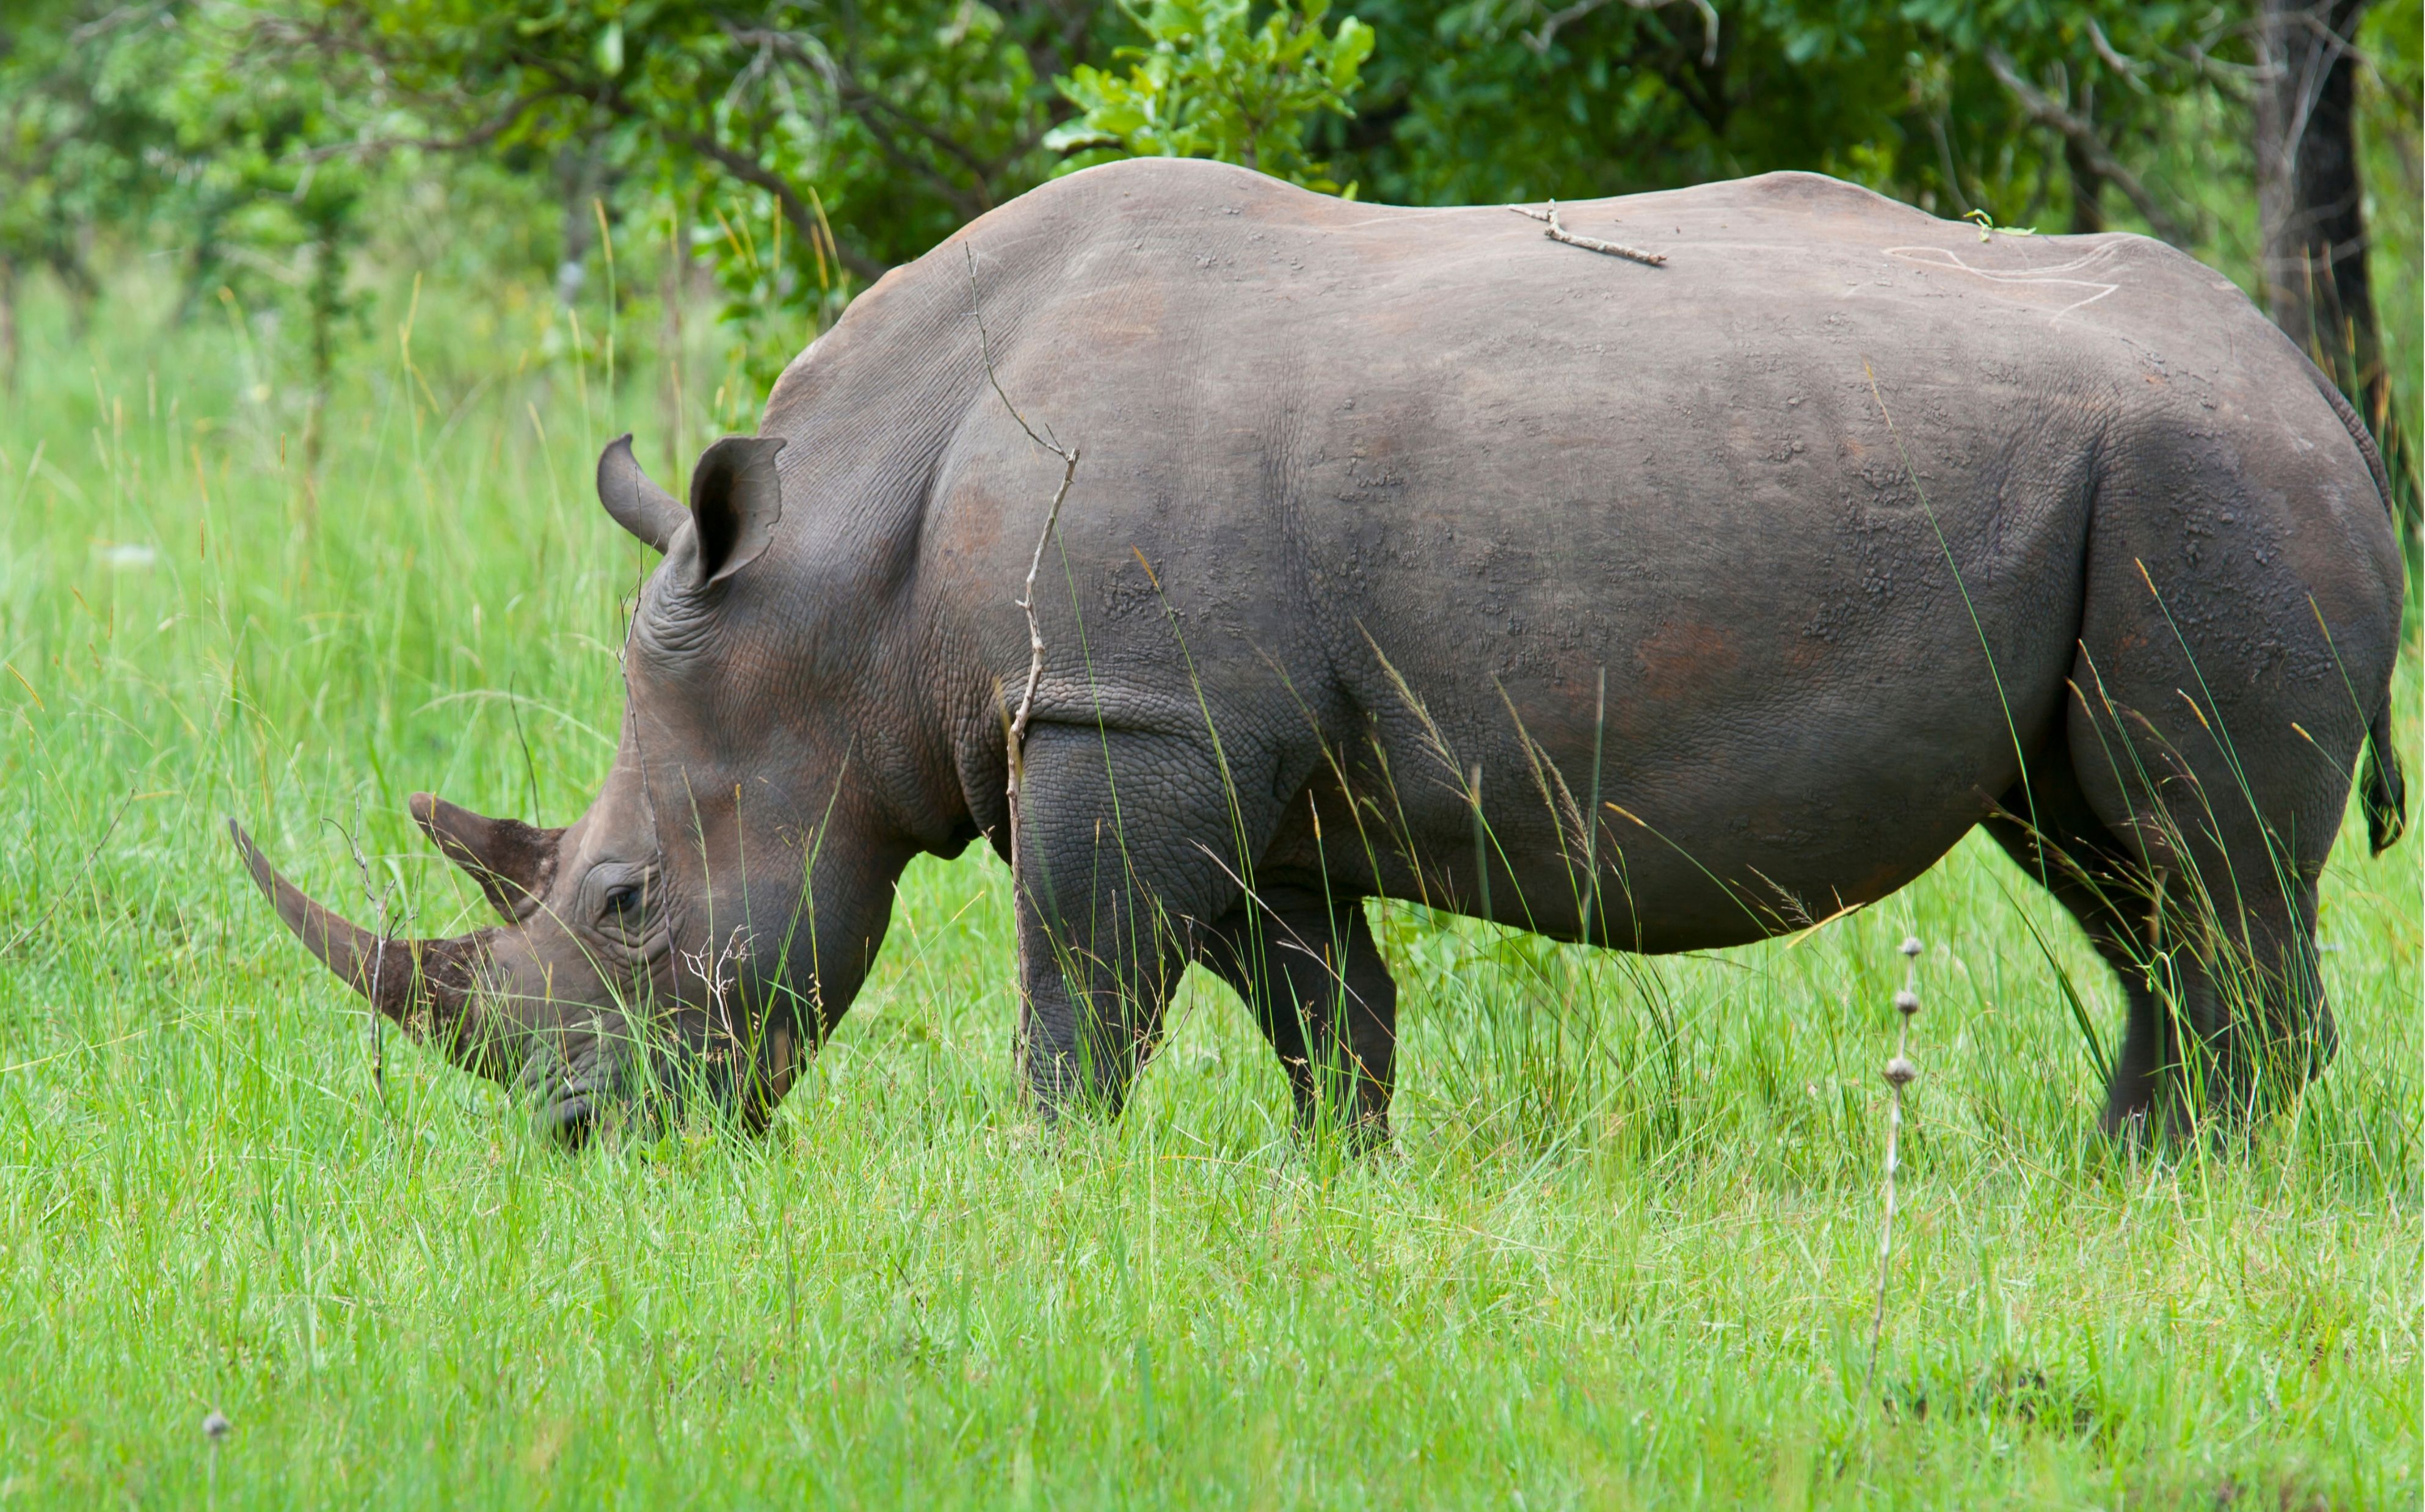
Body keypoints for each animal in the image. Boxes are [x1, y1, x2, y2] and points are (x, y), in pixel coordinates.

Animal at [234, 159, 2406, 1143]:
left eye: (619, 899)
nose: (581, 1140)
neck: (840, 580)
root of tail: (2320, 391)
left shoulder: (1124, 719)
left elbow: (1082, 988)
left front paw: (1050, 1179)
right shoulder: (1215, 741)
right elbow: (1315, 999)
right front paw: (1330, 1184)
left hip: (2203, 479)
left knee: (2204, 866)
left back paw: (2196, 1189)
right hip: (2128, 485)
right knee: (2114, 863)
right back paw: (2113, 1175)